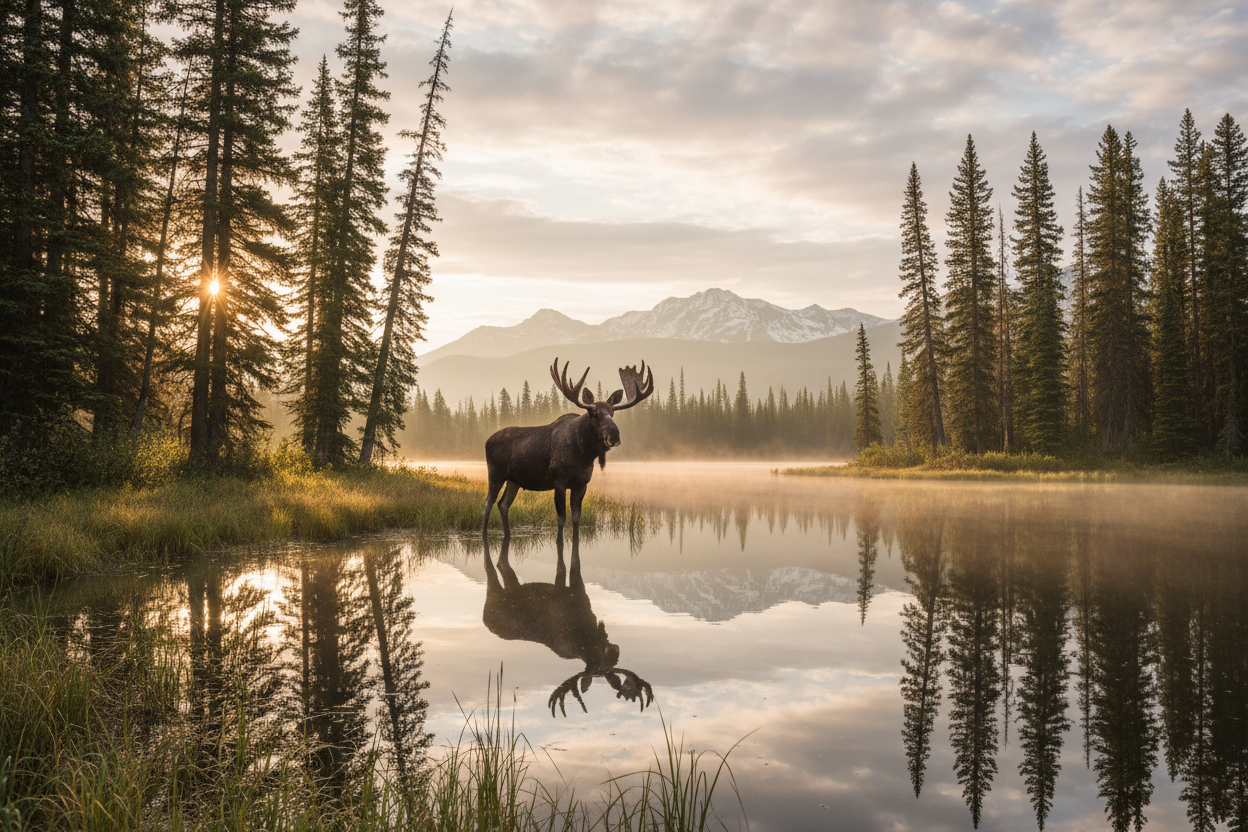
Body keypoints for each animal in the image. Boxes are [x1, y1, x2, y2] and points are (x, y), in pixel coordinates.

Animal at [482, 358, 654, 538]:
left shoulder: (581, 484)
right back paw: (484, 533)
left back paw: (507, 534)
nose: (614, 436)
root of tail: (487, 441)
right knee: (488, 503)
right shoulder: (559, 482)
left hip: (514, 480)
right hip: (495, 474)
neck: (584, 453)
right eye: (594, 413)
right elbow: (561, 519)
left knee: (503, 504)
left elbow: (576, 519)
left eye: (612, 413)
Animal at [482, 532, 654, 717]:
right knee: (491, 567)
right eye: (599, 659)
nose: (615, 649)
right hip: (494, 590)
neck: (584, 632)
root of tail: (485, 619)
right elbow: (567, 564)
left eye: (609, 663)